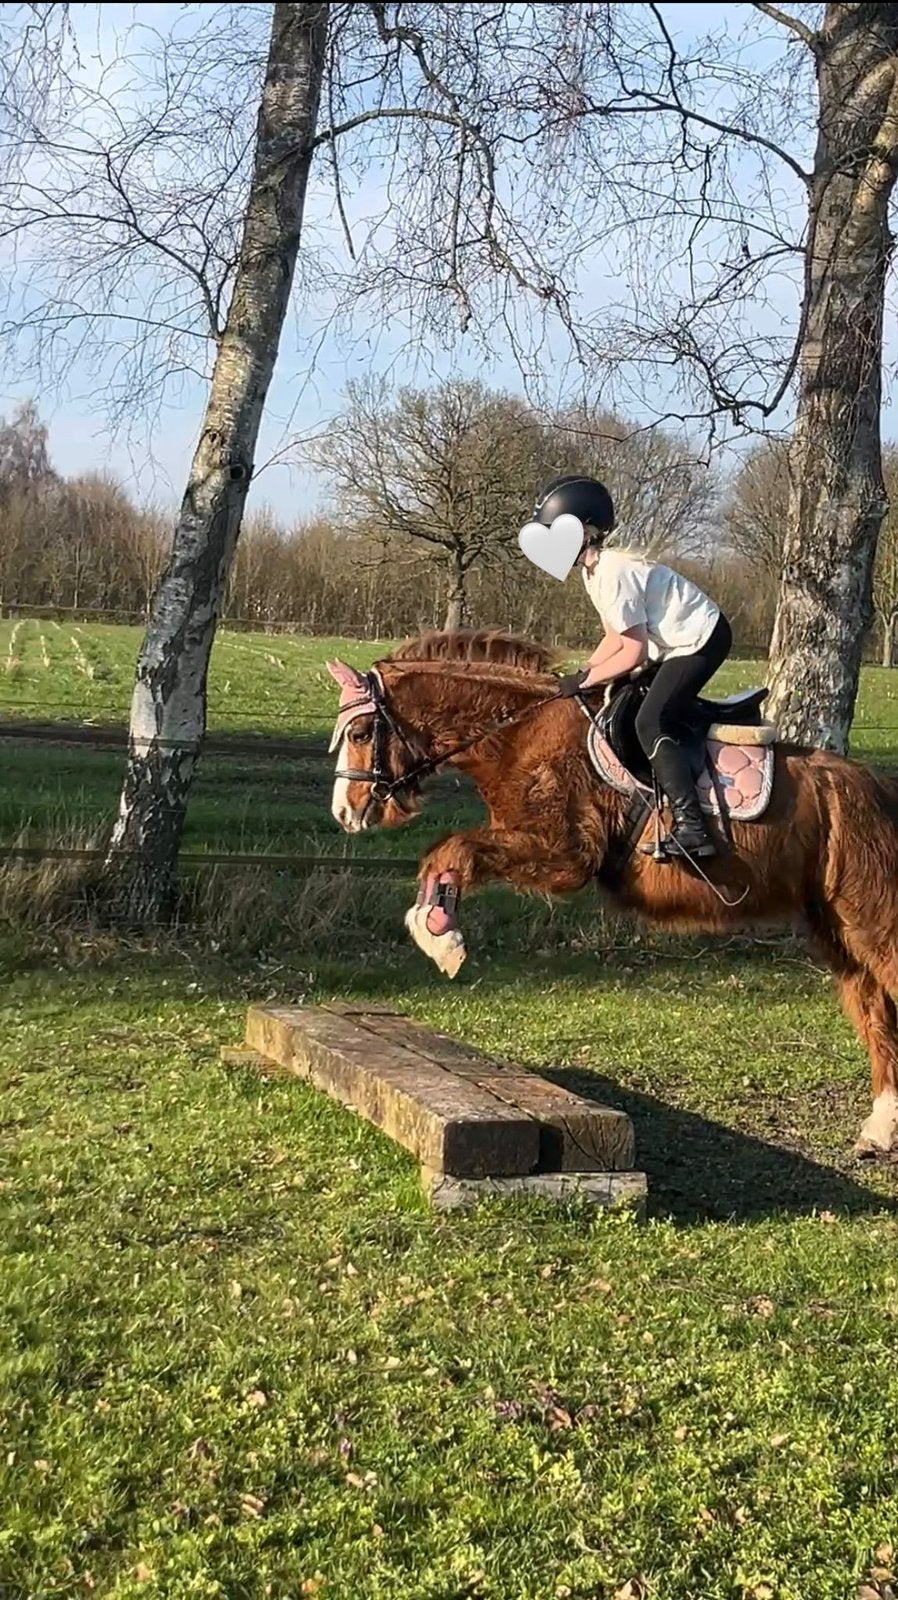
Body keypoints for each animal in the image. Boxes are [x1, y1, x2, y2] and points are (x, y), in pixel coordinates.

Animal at [326, 627, 898, 1161]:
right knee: (873, 1004)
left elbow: (454, 852)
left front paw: (440, 937)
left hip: (869, 916)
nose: (345, 812)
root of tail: (875, 787)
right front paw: (437, 931)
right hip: (835, 930)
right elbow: (441, 857)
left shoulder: (565, 855)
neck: (520, 733)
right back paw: (879, 1127)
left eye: (359, 731)